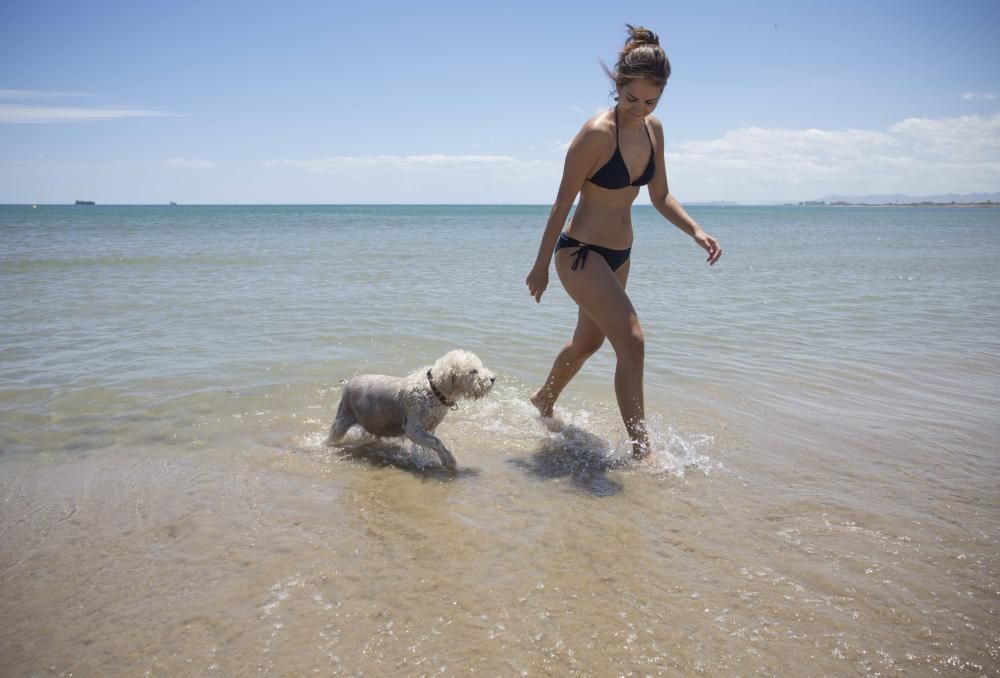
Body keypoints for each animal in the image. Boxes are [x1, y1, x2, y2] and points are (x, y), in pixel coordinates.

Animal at [326, 354, 494, 470]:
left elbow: (433, 442)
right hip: (343, 418)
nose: (493, 378)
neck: (433, 390)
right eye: (473, 371)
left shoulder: (429, 428)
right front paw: (449, 460)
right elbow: (437, 442)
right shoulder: (413, 430)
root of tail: (348, 383)